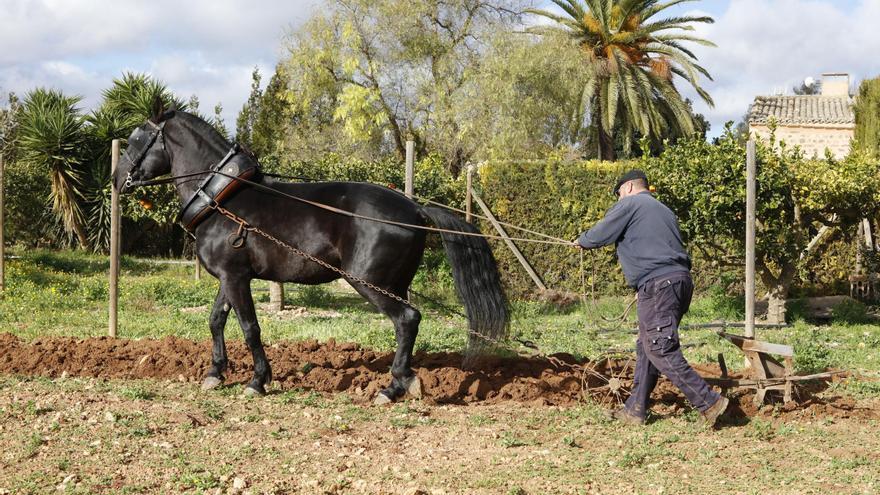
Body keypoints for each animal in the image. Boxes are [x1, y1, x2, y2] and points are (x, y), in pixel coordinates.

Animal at [115, 101, 508, 404]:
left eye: (136, 139)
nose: (118, 181)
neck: (222, 199)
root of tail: (414, 208)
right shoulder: (230, 277)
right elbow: (215, 320)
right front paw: (215, 373)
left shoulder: (235, 277)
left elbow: (250, 327)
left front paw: (257, 381)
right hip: (392, 284)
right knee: (406, 324)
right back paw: (403, 381)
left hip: (369, 282)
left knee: (407, 320)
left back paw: (393, 387)